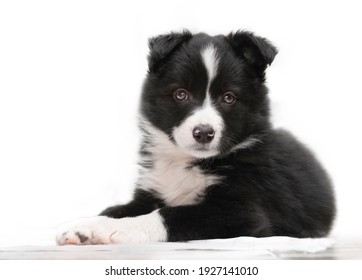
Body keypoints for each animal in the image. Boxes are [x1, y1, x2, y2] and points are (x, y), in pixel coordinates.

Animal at [56, 31, 336, 245]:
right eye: (181, 94)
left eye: (229, 97)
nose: (203, 133)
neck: (186, 161)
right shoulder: (150, 192)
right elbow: (117, 209)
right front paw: (86, 225)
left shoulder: (243, 212)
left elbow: (170, 214)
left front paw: (119, 229)